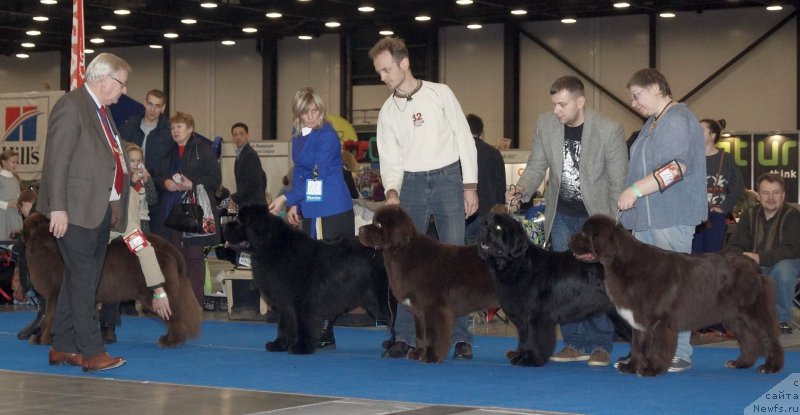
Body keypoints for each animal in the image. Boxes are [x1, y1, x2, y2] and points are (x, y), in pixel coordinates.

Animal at [24, 213, 203, 350]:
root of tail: (169, 248)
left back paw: (172, 341)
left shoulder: (55, 294)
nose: (18, 234)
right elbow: (49, 317)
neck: (46, 247)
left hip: (152, 294)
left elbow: (51, 317)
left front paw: (46, 338)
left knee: (174, 314)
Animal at [222, 205, 390, 354]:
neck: (272, 246)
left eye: (239, 222)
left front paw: (301, 347)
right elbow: (284, 324)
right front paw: (279, 344)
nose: (223, 225)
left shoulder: (302, 301)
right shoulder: (284, 301)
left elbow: (302, 324)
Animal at [358, 205, 496, 364]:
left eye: (379, 225)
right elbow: (420, 334)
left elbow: (432, 333)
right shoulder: (419, 309)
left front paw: (432, 356)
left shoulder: (433, 306)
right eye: (374, 221)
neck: (403, 251)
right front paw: (417, 354)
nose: (360, 229)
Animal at [478, 211, 628, 368]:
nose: (482, 230)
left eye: (498, 227)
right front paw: (520, 355)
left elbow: (534, 338)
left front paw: (531, 358)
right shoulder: (523, 316)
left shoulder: (537, 315)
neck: (516, 264)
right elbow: (524, 337)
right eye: (485, 224)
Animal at [568, 214, 788, 376]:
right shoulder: (639, 320)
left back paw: (771, 367)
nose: (569, 239)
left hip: (754, 312)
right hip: (734, 317)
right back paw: (740, 363)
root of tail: (755, 266)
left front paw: (651, 369)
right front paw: (631, 366)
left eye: (585, 233)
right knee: (750, 340)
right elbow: (638, 345)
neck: (623, 263)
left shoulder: (660, 321)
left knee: (769, 338)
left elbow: (657, 347)